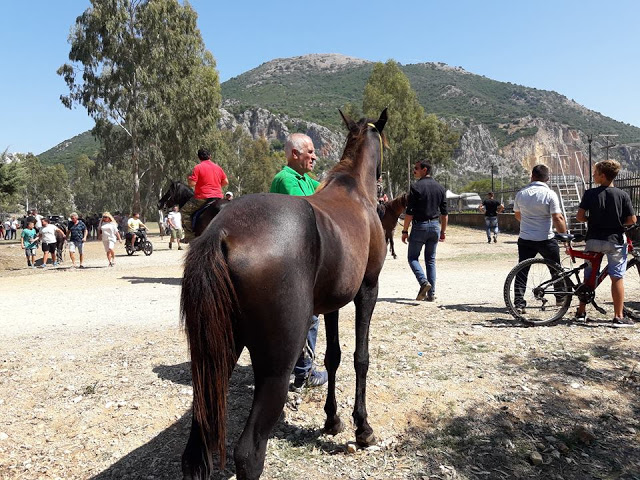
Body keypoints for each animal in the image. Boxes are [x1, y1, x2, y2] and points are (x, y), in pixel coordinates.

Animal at [181, 109, 390, 480]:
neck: (353, 189)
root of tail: (221, 231)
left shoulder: (331, 304)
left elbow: (333, 357)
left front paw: (332, 419)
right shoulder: (368, 289)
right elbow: (360, 358)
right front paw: (361, 427)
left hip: (215, 360)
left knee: (195, 450)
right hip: (275, 367)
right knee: (249, 453)